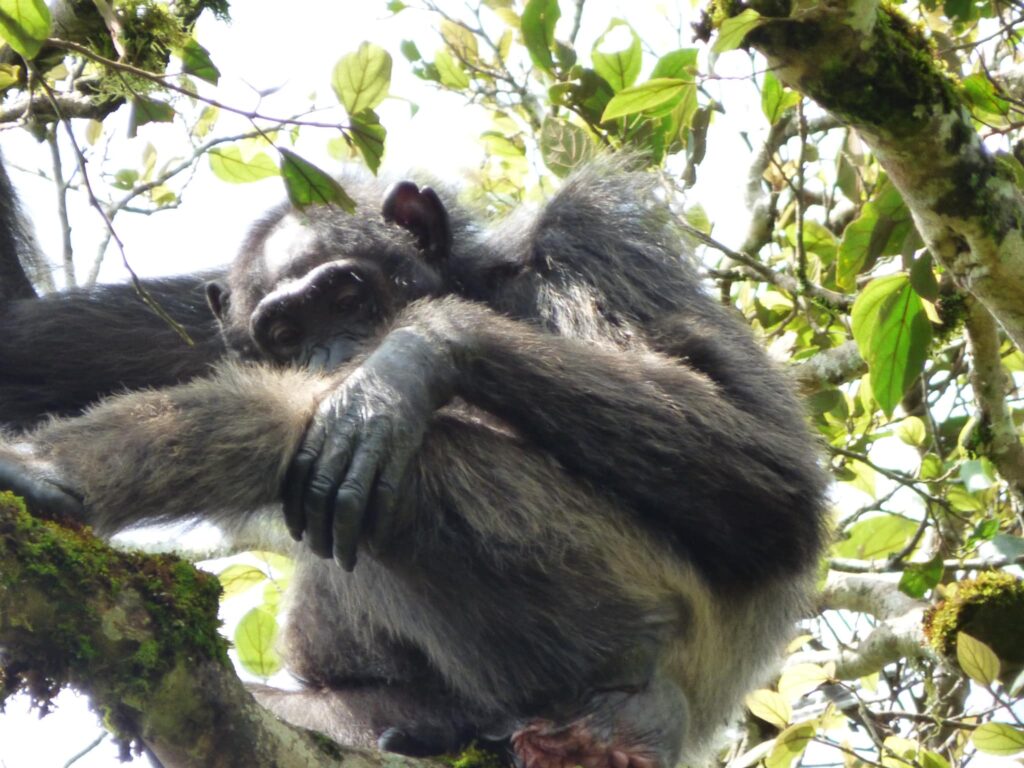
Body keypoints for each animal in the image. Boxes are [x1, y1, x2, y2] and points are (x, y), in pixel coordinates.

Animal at [0, 160, 829, 768]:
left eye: (347, 292)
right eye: (285, 330)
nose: (335, 350)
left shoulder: (589, 239)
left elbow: (770, 476)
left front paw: (409, 360)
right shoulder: (195, 326)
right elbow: (22, 342)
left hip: (617, 599)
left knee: (323, 430)